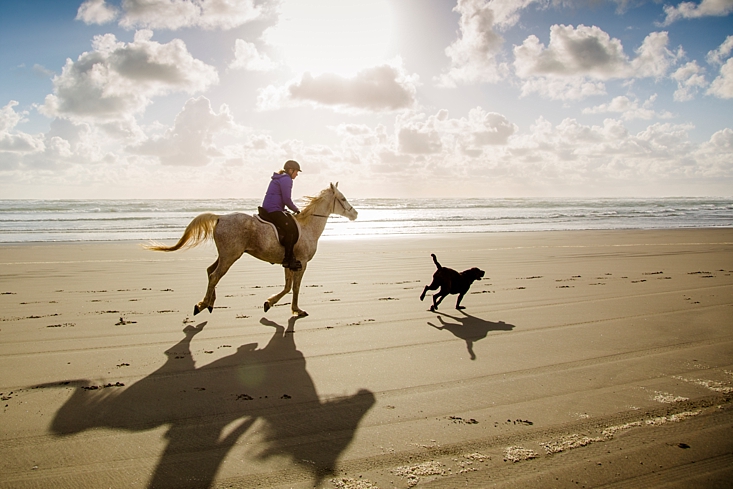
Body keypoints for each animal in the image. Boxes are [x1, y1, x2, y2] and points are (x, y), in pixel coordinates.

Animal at [144, 183, 356, 316]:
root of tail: (220, 217)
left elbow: (288, 287)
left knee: (210, 271)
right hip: (230, 256)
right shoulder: (301, 263)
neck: (307, 227)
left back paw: (210, 303)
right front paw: (296, 310)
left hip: (225, 255)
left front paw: (269, 303)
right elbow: (295, 288)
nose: (355, 214)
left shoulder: (290, 263)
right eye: (343, 198)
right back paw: (202, 304)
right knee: (214, 276)